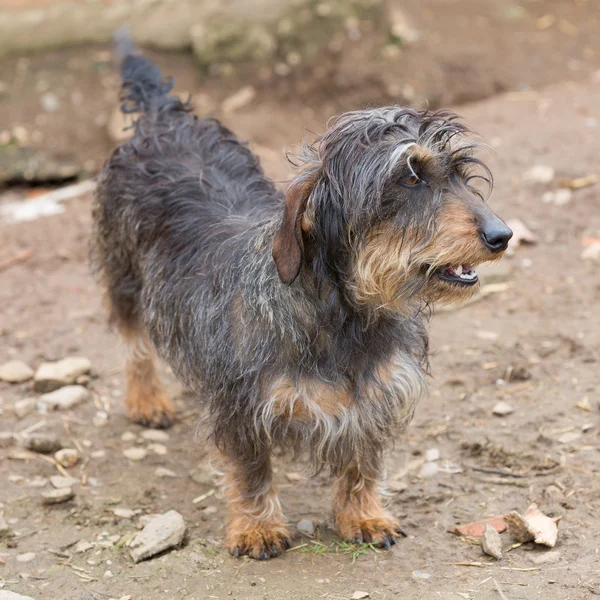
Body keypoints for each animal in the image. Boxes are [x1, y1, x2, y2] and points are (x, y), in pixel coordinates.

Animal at [91, 45, 512, 556]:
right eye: (409, 178)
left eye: (460, 174)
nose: (502, 235)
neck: (344, 317)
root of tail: (163, 118)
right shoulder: (241, 406)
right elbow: (251, 469)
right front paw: (257, 527)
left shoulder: (376, 396)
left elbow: (362, 461)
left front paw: (364, 516)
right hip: (124, 275)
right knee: (133, 340)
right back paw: (146, 399)